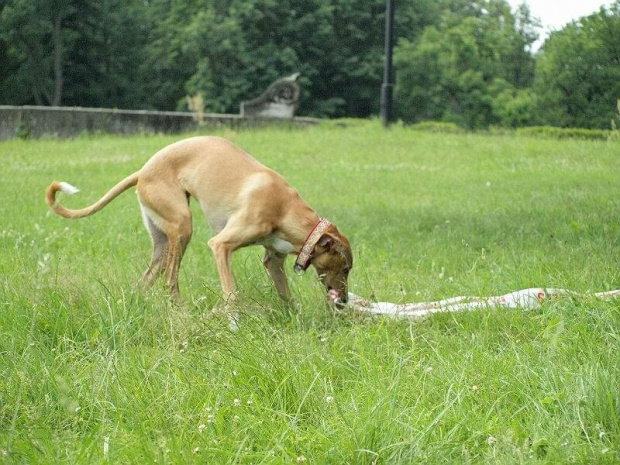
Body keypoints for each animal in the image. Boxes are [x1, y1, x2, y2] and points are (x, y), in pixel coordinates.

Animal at [46, 136, 352, 306]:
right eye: (347, 268)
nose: (345, 301)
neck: (285, 208)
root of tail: (143, 170)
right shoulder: (221, 245)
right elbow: (231, 293)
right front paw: (234, 324)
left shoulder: (273, 259)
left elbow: (286, 295)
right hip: (182, 225)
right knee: (170, 281)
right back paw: (182, 313)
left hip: (162, 241)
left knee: (146, 280)